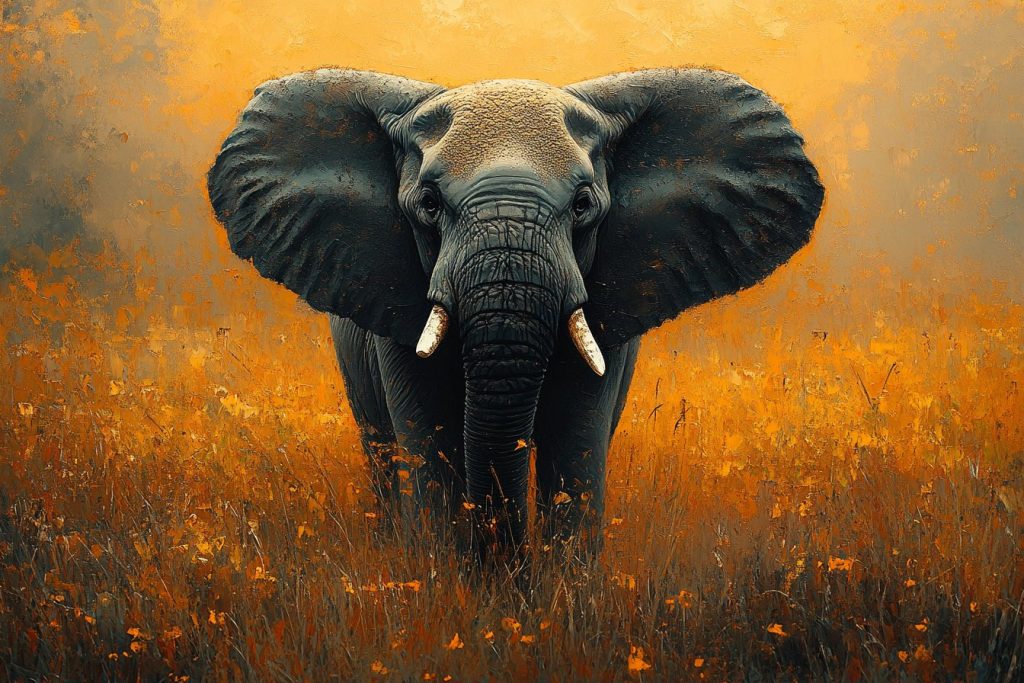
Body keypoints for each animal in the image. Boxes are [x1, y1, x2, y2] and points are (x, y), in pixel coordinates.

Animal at [207, 68, 823, 564]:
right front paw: (451, 590)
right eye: (428, 204)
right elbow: (429, 442)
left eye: (584, 205)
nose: (509, 566)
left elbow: (576, 438)